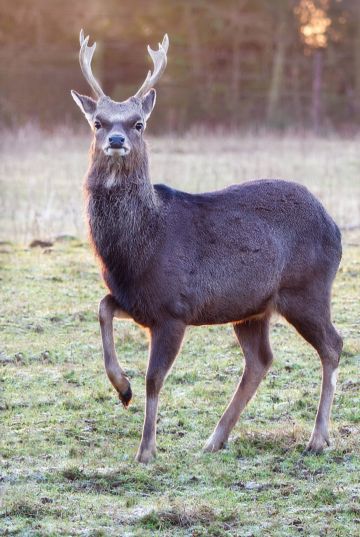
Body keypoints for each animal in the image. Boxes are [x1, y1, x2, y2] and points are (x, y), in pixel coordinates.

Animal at [71, 31, 344, 462]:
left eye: (138, 123)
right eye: (97, 121)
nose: (116, 139)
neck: (139, 250)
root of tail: (335, 227)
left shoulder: (174, 309)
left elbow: (154, 379)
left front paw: (146, 449)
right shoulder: (137, 300)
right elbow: (101, 308)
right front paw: (122, 389)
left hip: (307, 290)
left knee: (333, 345)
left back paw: (317, 438)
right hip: (252, 308)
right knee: (260, 360)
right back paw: (215, 438)